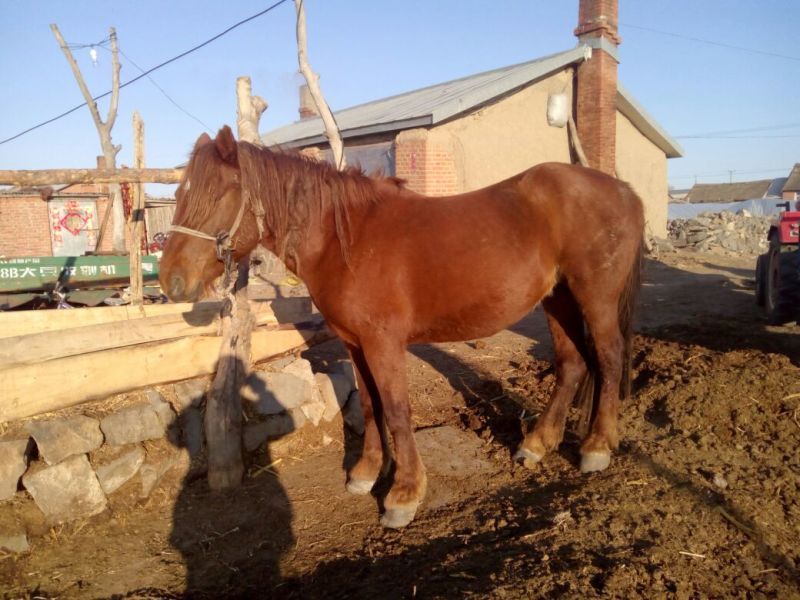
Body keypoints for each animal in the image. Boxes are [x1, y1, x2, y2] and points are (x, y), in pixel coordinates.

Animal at [160, 125, 644, 529]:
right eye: (181, 193)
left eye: (218, 194)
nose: (170, 281)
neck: (345, 240)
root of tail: (623, 190)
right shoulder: (355, 344)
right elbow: (370, 406)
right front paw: (366, 473)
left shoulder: (383, 343)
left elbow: (395, 410)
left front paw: (404, 494)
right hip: (558, 299)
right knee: (571, 364)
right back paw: (538, 443)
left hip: (594, 298)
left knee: (608, 357)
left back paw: (597, 447)